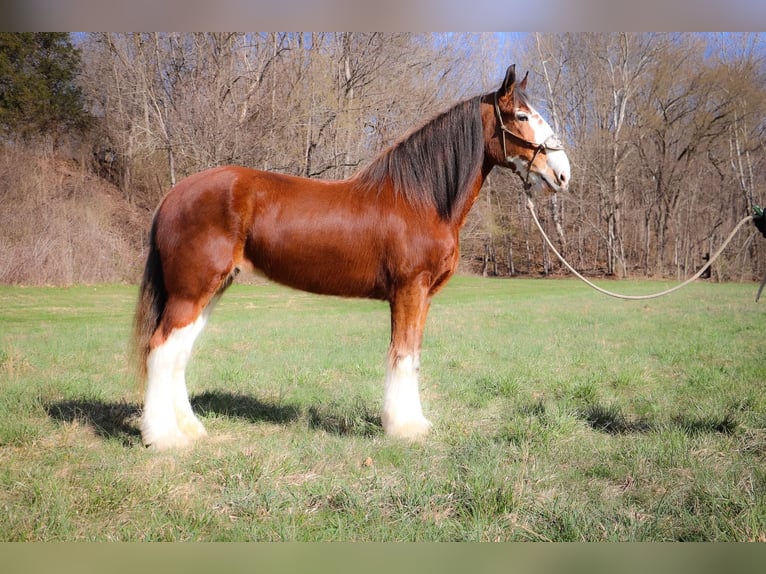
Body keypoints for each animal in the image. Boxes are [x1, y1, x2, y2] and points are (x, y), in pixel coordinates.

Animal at [132, 63, 568, 450]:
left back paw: (190, 429)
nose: (563, 173)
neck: (420, 199)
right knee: (161, 350)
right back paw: (164, 438)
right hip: (191, 291)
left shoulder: (423, 297)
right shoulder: (409, 291)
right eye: (522, 115)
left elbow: (413, 355)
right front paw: (404, 428)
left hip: (209, 289)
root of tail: (174, 195)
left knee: (179, 352)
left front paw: (415, 422)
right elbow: (401, 355)